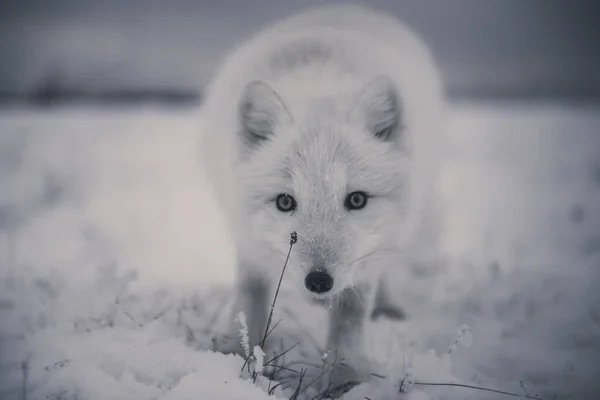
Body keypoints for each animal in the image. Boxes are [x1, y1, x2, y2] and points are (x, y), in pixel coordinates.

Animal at [202, 3, 446, 390]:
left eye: (357, 200)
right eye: (285, 202)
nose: (318, 282)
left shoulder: (361, 270)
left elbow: (350, 317)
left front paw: (344, 381)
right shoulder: (247, 240)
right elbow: (250, 298)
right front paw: (236, 358)